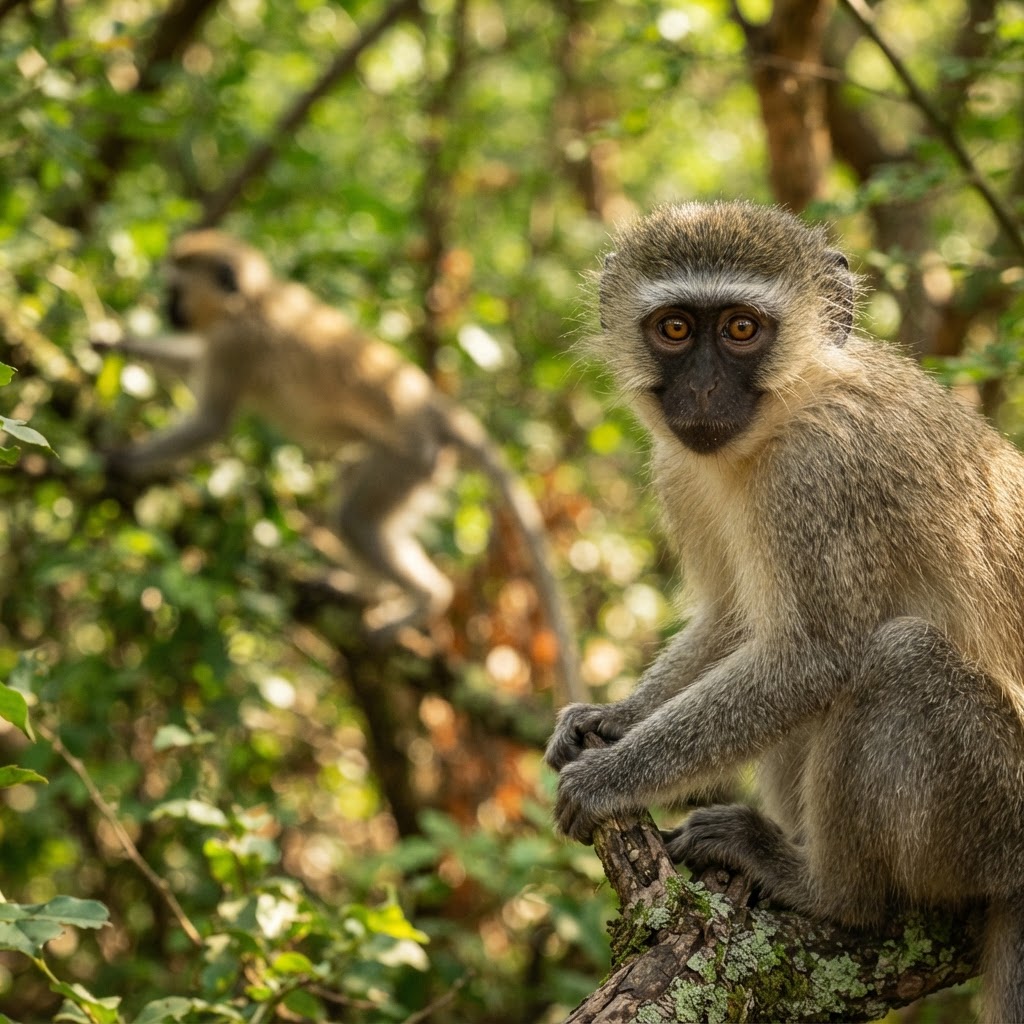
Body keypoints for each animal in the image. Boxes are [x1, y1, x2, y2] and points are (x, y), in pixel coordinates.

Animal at [93, 229, 584, 705]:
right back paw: (366, 589)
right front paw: (113, 341)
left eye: (176, 291)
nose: (169, 312)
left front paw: (119, 460)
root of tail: (434, 408)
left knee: (356, 520)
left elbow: (210, 424)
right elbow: (192, 362)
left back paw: (424, 599)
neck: (251, 301)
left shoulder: (237, 346)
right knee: (353, 497)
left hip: (409, 459)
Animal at [545, 200, 1024, 1021]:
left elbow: (812, 656)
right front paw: (609, 718)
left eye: (742, 329)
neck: (795, 402)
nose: (703, 394)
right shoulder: (679, 466)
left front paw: (611, 775)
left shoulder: (817, 474)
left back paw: (830, 891)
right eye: (676, 328)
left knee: (897, 659)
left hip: (999, 806)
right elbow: (739, 622)